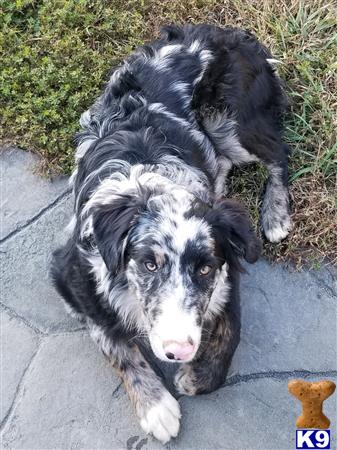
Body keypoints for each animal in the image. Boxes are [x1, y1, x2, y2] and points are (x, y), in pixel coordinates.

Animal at [51, 24, 290, 442]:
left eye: (205, 269)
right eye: (148, 264)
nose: (178, 351)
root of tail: (226, 32)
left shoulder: (227, 274)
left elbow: (231, 329)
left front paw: (197, 377)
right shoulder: (70, 276)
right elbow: (115, 343)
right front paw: (156, 406)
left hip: (233, 123)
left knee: (279, 153)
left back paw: (276, 213)